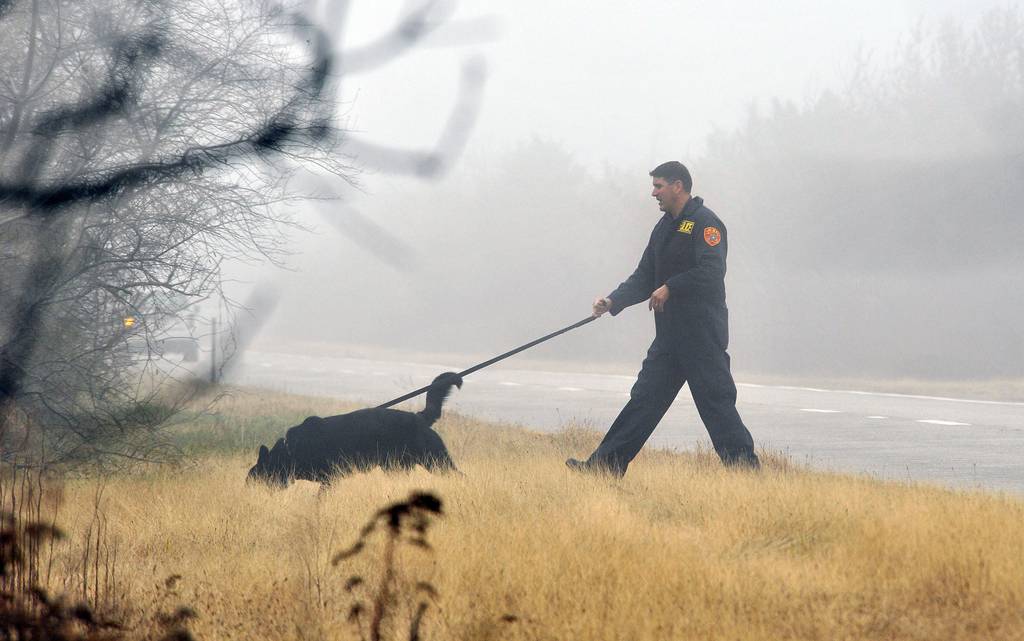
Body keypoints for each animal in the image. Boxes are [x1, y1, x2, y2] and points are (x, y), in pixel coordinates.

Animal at [247, 368, 460, 483]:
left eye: (255, 475)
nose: (247, 486)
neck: (291, 450)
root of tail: (420, 417)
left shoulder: (330, 479)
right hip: (397, 468)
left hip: (436, 461)